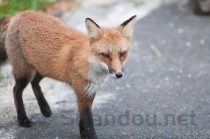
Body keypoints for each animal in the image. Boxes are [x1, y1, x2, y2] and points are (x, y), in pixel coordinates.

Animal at [0, 11, 137, 138]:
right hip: (25, 73)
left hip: (45, 69)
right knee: (16, 90)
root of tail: (19, 14)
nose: (119, 74)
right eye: (105, 55)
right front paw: (89, 135)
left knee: (35, 83)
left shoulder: (89, 92)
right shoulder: (82, 93)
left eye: (123, 53)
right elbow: (88, 123)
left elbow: (82, 120)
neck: (90, 65)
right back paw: (22, 119)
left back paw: (45, 108)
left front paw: (82, 134)